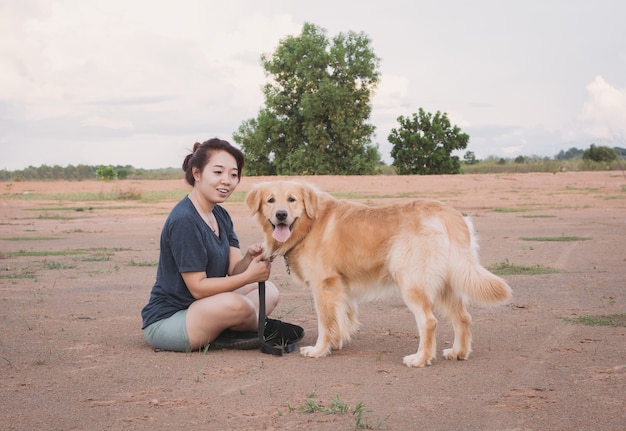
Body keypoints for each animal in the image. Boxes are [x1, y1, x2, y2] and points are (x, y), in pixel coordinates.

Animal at [243, 180, 508, 368]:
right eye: (270, 200)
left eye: (292, 200)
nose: (281, 215)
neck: (308, 225)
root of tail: (448, 213)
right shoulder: (341, 286)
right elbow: (342, 317)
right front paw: (337, 342)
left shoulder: (323, 285)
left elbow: (325, 322)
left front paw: (319, 350)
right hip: (446, 284)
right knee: (463, 317)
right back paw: (458, 352)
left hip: (411, 282)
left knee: (429, 321)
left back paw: (420, 359)